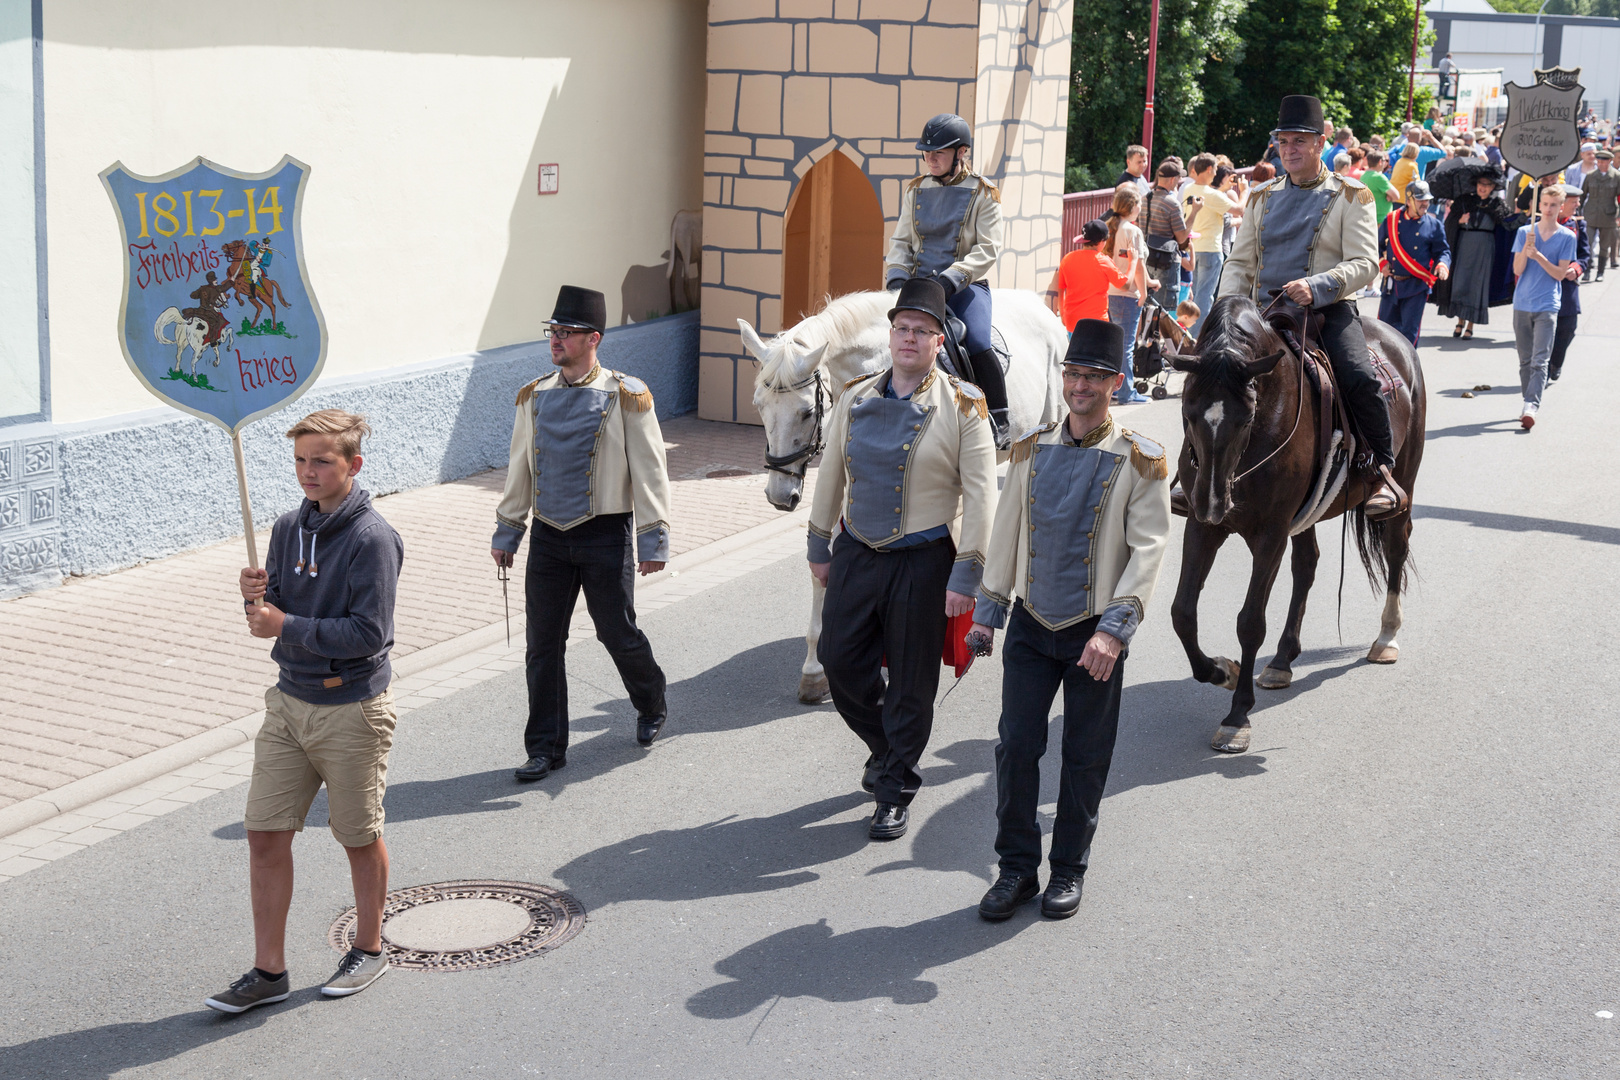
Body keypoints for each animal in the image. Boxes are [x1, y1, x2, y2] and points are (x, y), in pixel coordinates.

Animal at [745, 291, 1075, 705]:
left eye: (806, 412)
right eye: (759, 405)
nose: (779, 495)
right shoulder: (846, 486)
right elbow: (826, 564)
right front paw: (814, 670)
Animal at [1172, 296, 1425, 751]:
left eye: (1246, 417)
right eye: (1188, 411)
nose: (1213, 501)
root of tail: (1398, 339)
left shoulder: (1270, 532)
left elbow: (1250, 621)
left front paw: (1237, 716)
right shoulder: (1202, 528)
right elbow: (1182, 612)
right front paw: (1221, 670)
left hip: (1404, 483)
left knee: (1396, 548)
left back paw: (1386, 637)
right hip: (1303, 514)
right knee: (1307, 564)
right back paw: (1282, 660)